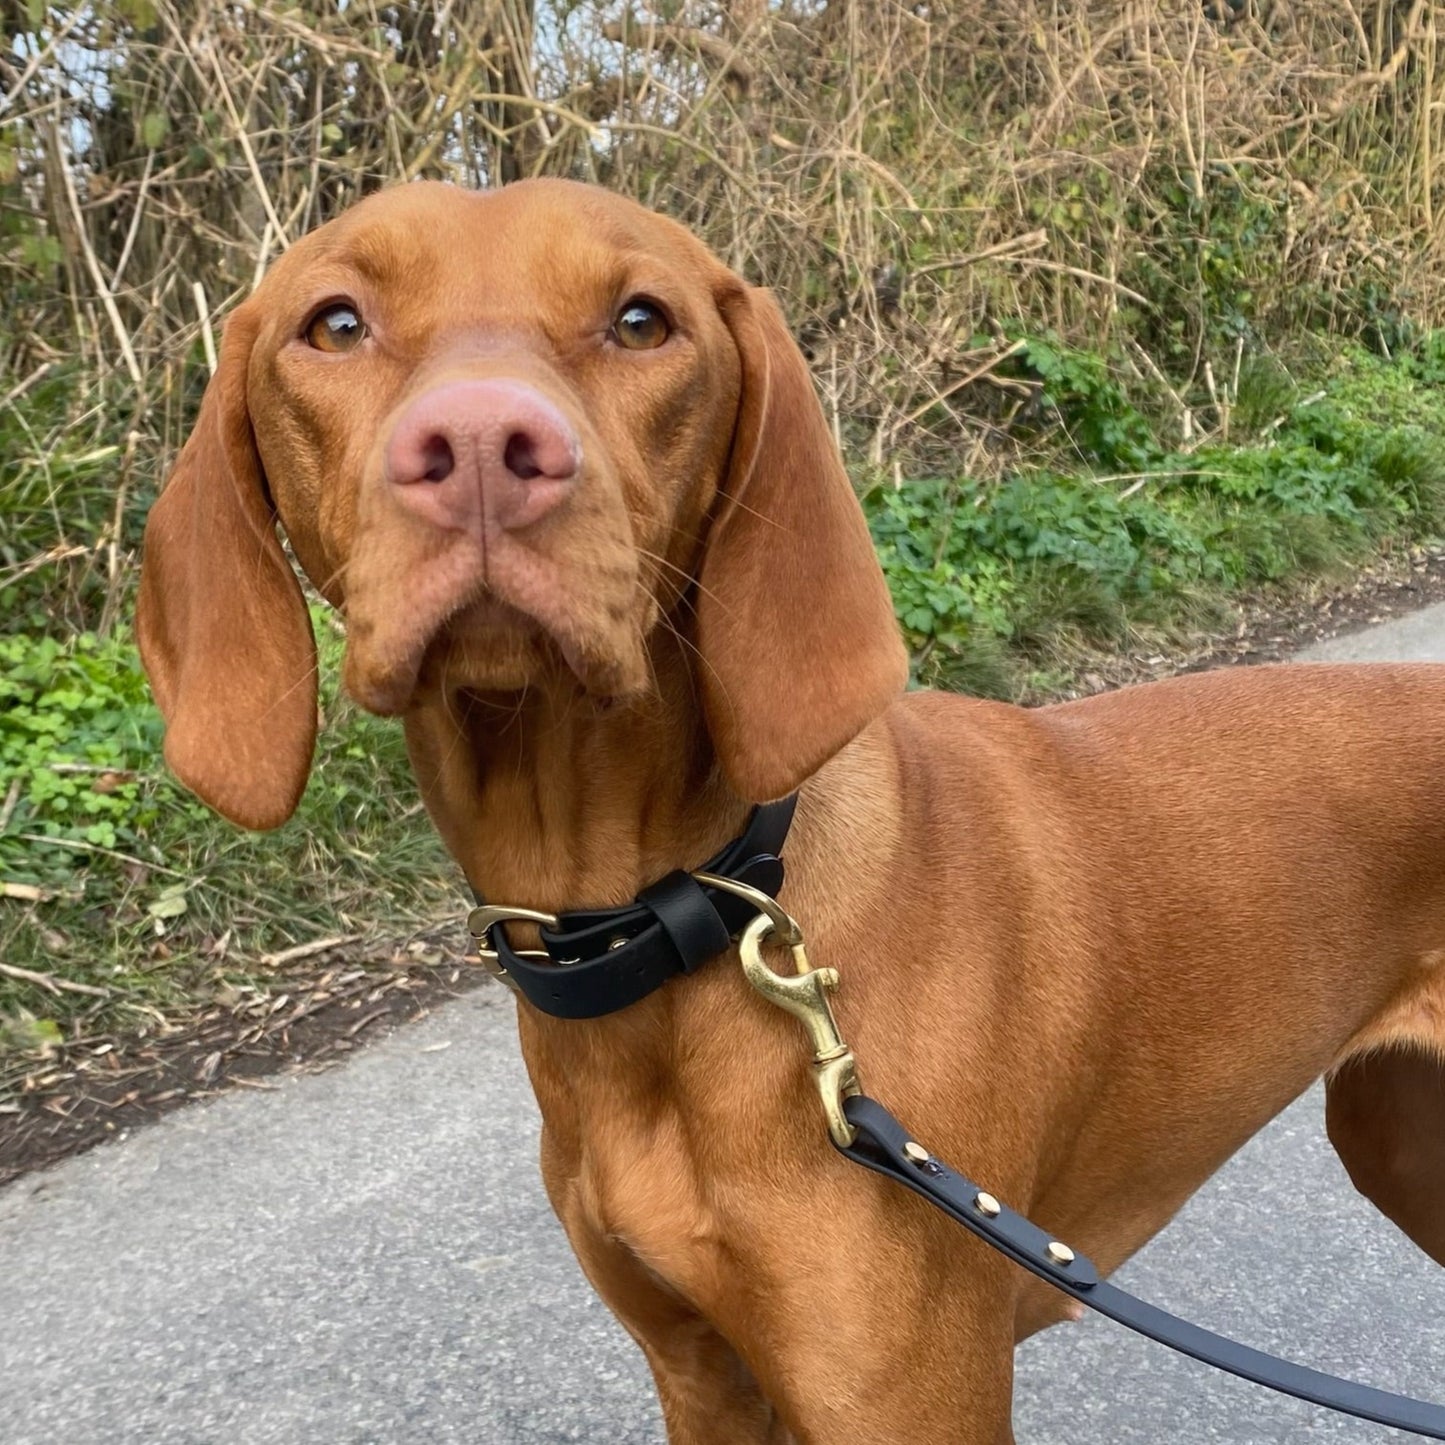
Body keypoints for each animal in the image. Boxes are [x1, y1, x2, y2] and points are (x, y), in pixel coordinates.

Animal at [136, 178, 1445, 1443]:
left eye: (640, 320)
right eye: (335, 324)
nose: (476, 444)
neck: (689, 916)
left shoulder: (908, 1400)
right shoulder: (700, 1377)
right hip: (1396, 1141)